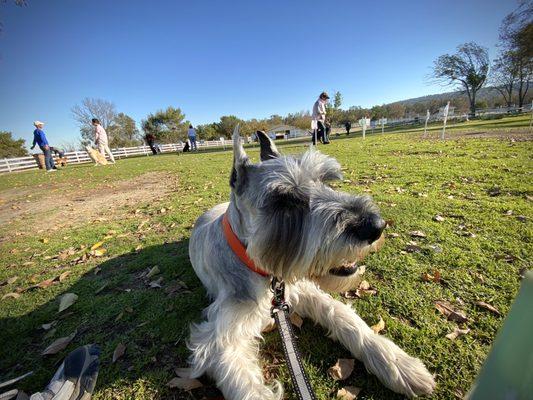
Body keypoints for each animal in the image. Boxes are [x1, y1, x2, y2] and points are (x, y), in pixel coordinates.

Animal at [187, 127, 436, 400]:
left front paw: (399, 364)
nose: (375, 226)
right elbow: (248, 388)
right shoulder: (221, 339)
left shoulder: (304, 291)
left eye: (325, 180)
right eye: (285, 200)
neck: (264, 272)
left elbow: (346, 318)